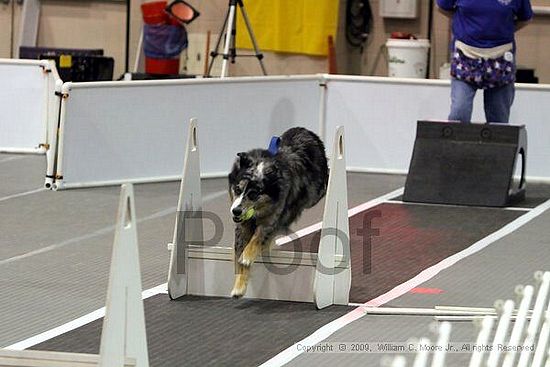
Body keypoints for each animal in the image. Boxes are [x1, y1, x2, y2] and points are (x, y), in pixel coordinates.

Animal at [227, 127, 328, 300]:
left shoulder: (273, 218)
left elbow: (258, 237)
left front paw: (248, 255)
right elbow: (240, 257)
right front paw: (239, 288)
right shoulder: (242, 225)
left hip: (314, 194)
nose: (236, 211)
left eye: (253, 194)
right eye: (238, 189)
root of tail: (306, 131)